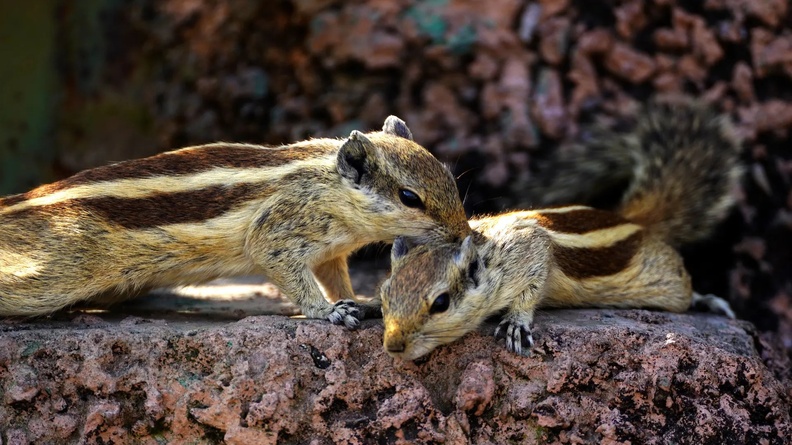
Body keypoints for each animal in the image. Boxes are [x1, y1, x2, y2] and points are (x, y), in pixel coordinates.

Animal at [0, 116, 471, 326]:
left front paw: (364, 301)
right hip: (58, 270)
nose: (464, 234)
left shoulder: (330, 253)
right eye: (410, 198)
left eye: (450, 178)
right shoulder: (279, 231)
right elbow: (288, 272)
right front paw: (327, 312)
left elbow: (336, 277)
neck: (331, 188)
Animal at [378, 100, 742, 360]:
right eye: (386, 295)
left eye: (440, 303)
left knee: (685, 290)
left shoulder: (531, 250)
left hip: (667, 280)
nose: (393, 346)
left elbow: (532, 286)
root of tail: (636, 221)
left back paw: (707, 301)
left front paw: (516, 322)